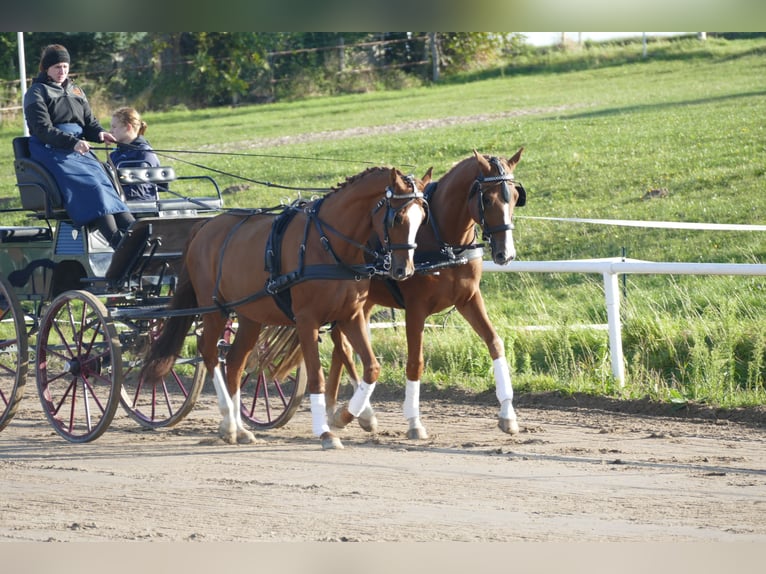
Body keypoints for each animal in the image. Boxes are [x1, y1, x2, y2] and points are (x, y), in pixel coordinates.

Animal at [142, 166, 432, 450]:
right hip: (214, 308)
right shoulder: (307, 321)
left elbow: (372, 368)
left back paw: (238, 428)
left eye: (422, 219)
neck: (328, 243)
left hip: (249, 316)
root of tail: (204, 226)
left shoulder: (351, 316)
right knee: (209, 353)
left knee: (234, 362)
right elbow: (316, 376)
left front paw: (348, 415)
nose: (404, 270)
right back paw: (229, 422)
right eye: (397, 218)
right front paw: (326, 431)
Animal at [324, 150, 528, 440]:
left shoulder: (469, 299)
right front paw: (414, 421)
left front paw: (508, 414)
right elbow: (415, 363)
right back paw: (358, 413)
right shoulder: (415, 308)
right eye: (487, 199)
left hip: (361, 303)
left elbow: (495, 343)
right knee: (343, 346)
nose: (506, 254)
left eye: (515, 195)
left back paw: (337, 409)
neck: (443, 241)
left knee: (341, 346)